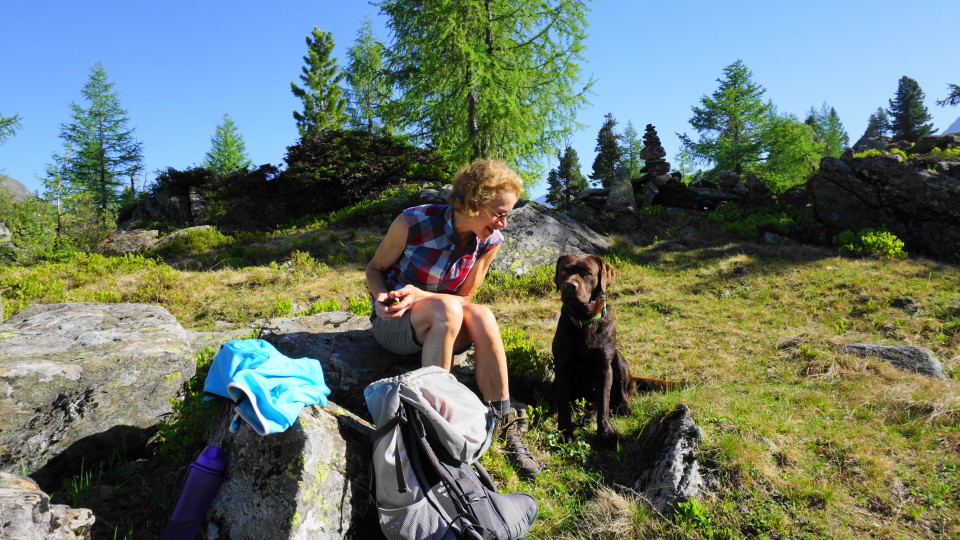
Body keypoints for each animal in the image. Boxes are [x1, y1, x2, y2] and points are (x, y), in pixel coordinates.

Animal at [552, 254, 688, 442]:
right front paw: (565, 432)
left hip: (618, 360)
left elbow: (604, 401)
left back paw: (620, 409)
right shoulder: (562, 367)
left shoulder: (604, 366)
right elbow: (564, 404)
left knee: (617, 398)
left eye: (586, 273)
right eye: (564, 272)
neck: (584, 321)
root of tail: (633, 379)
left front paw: (606, 432)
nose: (569, 286)